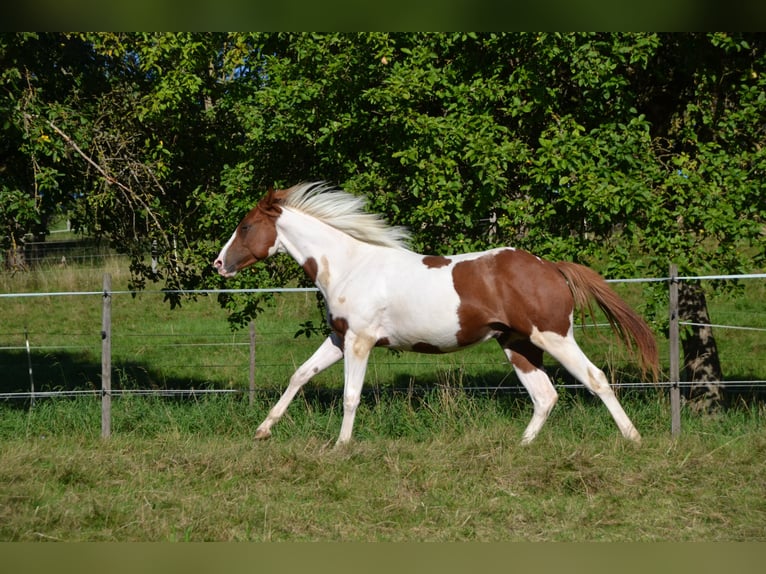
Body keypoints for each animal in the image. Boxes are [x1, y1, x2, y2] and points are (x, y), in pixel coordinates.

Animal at [214, 182, 659, 446]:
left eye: (246, 225)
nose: (219, 264)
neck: (349, 265)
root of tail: (550, 267)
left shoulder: (360, 342)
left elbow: (350, 396)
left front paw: (341, 446)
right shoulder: (339, 338)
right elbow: (300, 375)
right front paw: (262, 430)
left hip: (554, 336)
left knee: (596, 379)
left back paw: (633, 438)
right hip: (517, 345)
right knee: (545, 395)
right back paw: (520, 445)